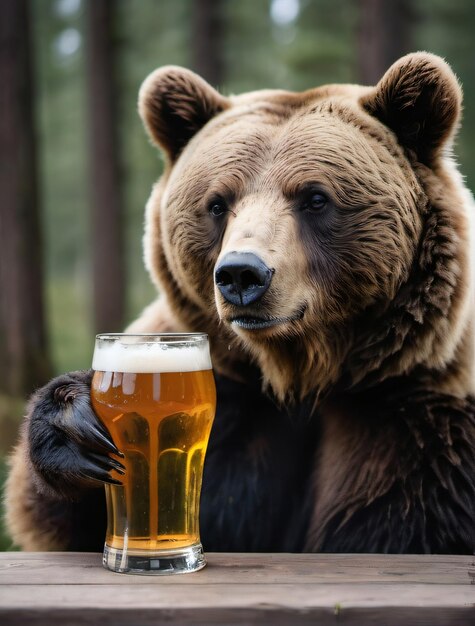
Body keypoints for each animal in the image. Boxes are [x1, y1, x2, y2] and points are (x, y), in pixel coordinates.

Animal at [4, 52, 475, 552]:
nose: (241, 274)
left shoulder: (416, 424)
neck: (299, 375)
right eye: (217, 203)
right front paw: (79, 426)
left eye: (315, 197)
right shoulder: (236, 403)